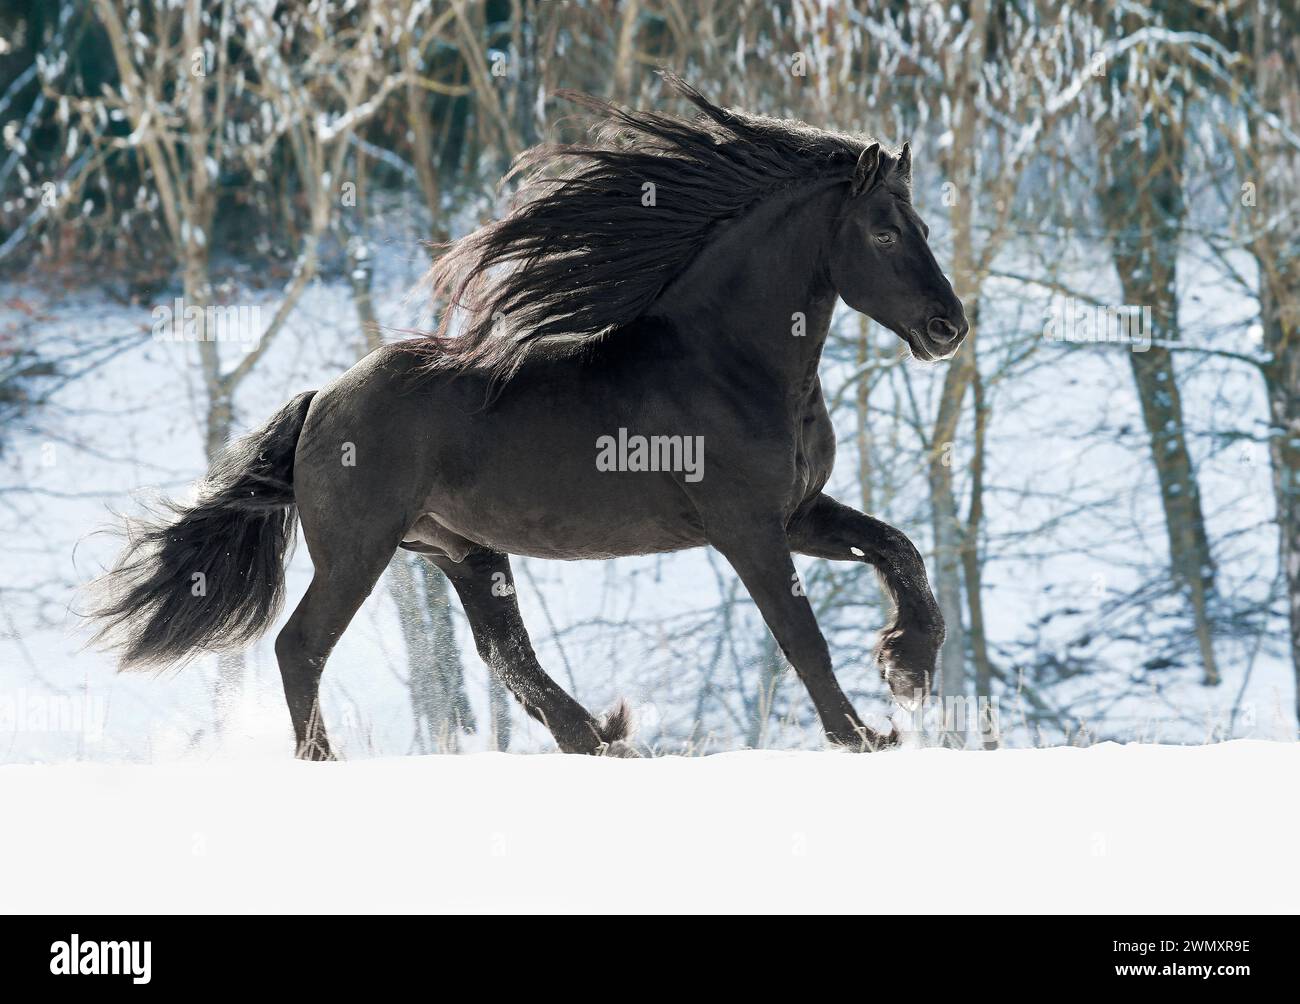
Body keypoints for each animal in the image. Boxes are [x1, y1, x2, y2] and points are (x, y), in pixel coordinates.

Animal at [88, 74, 968, 759]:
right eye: (884, 233)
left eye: (924, 225)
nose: (948, 328)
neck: (728, 363)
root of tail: (321, 403)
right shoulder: (747, 528)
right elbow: (800, 634)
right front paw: (867, 734)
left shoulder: (797, 512)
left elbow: (900, 550)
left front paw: (908, 667)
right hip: (360, 551)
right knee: (301, 646)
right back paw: (328, 761)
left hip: (464, 552)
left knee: (503, 653)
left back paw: (607, 738)